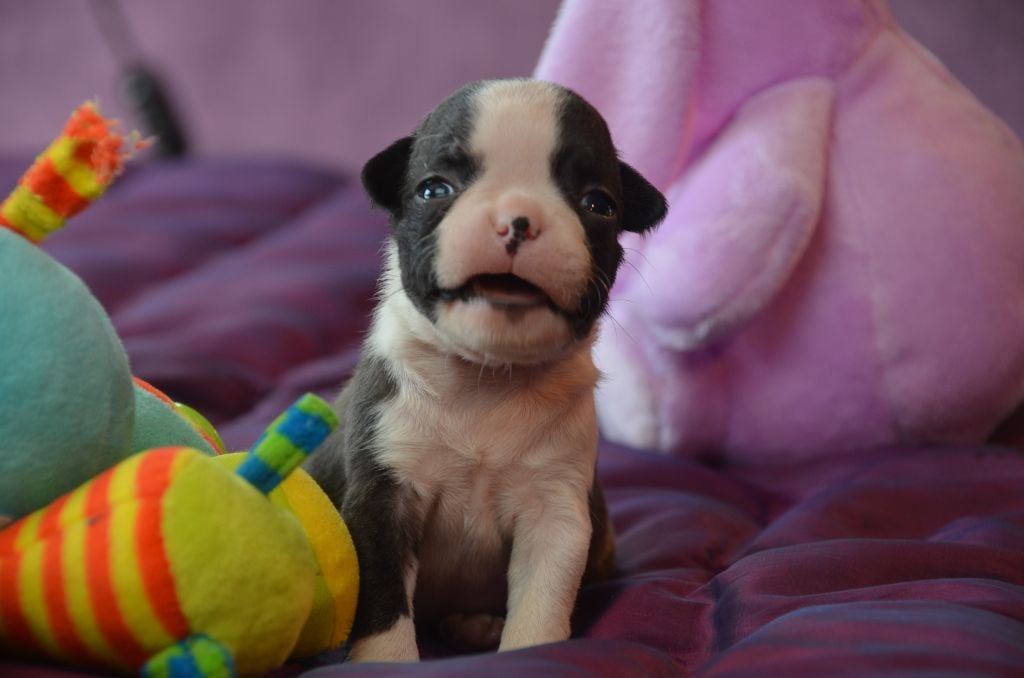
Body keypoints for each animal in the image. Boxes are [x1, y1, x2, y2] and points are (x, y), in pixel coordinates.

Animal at [305, 79, 667, 662]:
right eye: (434, 190)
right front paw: (388, 664)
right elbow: (384, 610)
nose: (518, 218)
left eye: (598, 204)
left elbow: (542, 603)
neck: (487, 378)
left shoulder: (555, 513)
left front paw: (529, 653)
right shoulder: (382, 498)